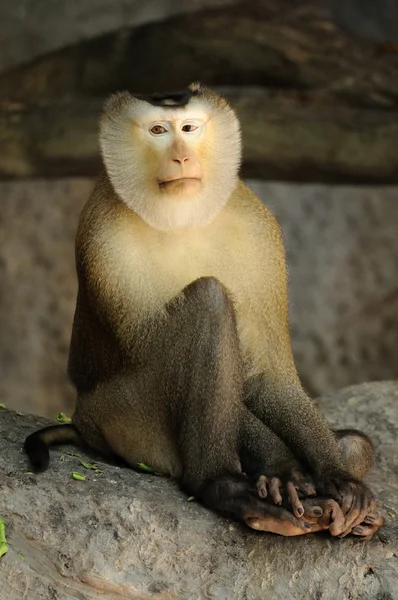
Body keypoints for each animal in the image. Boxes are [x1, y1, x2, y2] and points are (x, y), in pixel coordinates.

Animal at [24, 82, 382, 536]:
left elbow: (268, 377)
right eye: (159, 130)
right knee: (207, 303)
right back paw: (222, 485)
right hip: (123, 420)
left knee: (357, 444)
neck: (182, 221)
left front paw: (335, 474)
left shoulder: (260, 231)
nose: (181, 156)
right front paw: (283, 469)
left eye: (189, 128)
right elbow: (151, 350)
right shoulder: (103, 236)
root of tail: (84, 423)